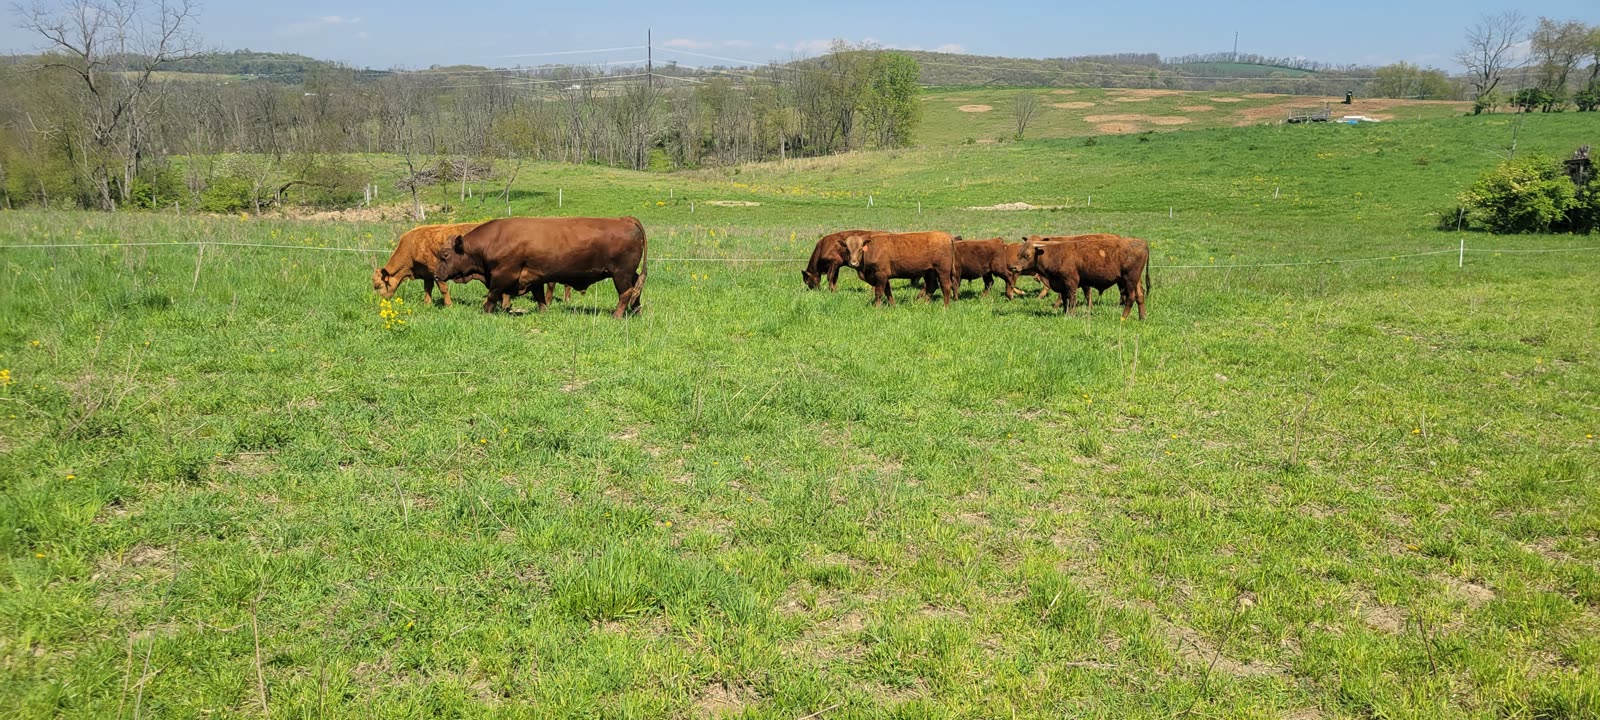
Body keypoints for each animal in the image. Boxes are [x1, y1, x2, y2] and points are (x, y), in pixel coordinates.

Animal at [434, 216, 647, 317]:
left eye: (445, 255)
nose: (436, 275)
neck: (494, 239)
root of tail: (624, 219)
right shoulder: (533, 276)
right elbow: (539, 296)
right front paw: (544, 311)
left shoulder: (503, 275)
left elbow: (493, 294)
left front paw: (485, 310)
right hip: (629, 273)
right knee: (636, 289)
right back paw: (637, 311)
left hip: (620, 274)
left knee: (626, 293)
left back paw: (616, 315)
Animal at [1008, 234, 1150, 319]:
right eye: (1019, 252)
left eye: (1027, 255)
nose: (1013, 267)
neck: (1055, 254)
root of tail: (1142, 242)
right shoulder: (1061, 285)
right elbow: (1065, 300)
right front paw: (1065, 313)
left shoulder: (1071, 283)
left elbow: (1072, 300)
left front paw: (1071, 314)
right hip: (1135, 281)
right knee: (1140, 295)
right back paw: (1142, 317)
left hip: (1129, 280)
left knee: (1130, 297)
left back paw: (1123, 317)